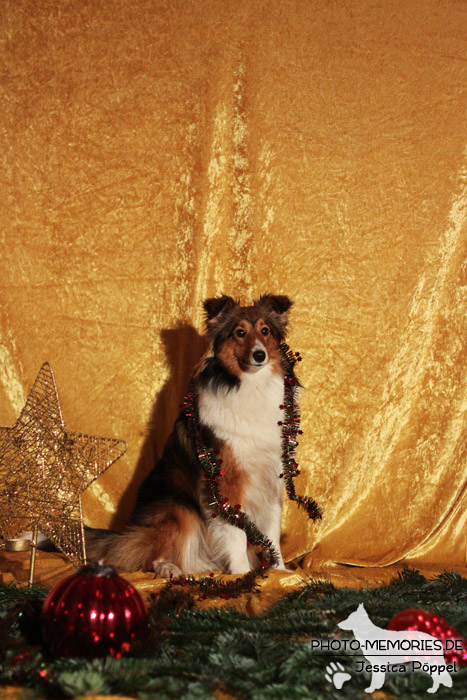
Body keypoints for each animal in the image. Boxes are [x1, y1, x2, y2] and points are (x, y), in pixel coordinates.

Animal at [88, 292, 296, 576]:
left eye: (265, 331)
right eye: (240, 333)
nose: (259, 355)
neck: (250, 385)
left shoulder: (271, 476)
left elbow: (272, 530)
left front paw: (279, 571)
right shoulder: (226, 479)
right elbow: (236, 531)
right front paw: (241, 572)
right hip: (178, 508)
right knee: (146, 554)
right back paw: (168, 568)